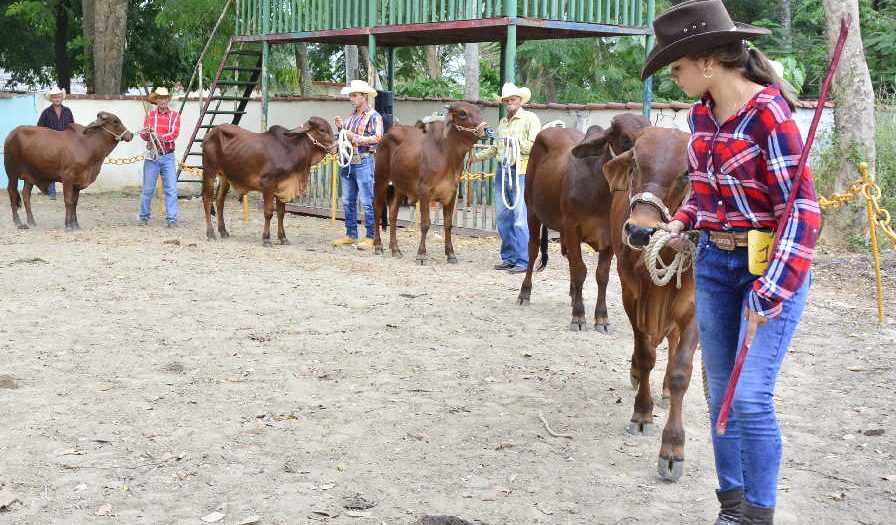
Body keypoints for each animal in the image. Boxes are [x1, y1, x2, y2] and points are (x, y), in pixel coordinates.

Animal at [4, 112, 134, 229]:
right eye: (116, 121)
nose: (131, 135)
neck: (87, 145)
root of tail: (12, 133)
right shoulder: (67, 177)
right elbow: (68, 200)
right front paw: (68, 224)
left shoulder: (77, 182)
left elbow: (74, 202)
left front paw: (75, 224)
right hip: (12, 172)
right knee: (12, 192)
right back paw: (18, 222)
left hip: (30, 175)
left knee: (26, 195)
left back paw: (31, 221)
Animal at [201, 116, 334, 246]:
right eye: (322, 130)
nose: (335, 147)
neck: (291, 150)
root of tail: (211, 133)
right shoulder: (268, 185)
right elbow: (268, 212)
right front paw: (266, 239)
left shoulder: (283, 187)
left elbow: (281, 213)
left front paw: (283, 238)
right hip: (209, 171)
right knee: (207, 199)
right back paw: (210, 233)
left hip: (224, 176)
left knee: (219, 200)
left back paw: (223, 231)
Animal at [372, 101, 486, 264]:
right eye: (463, 113)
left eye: (477, 110)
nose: (485, 128)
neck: (448, 155)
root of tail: (387, 134)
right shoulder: (424, 192)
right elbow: (425, 224)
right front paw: (421, 254)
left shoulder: (451, 193)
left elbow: (448, 224)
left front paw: (451, 254)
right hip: (380, 179)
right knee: (377, 209)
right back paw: (378, 245)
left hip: (400, 187)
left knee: (393, 214)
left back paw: (395, 249)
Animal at [516, 114, 648, 332]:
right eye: (625, 139)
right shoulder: (572, 228)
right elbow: (580, 271)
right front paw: (578, 316)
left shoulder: (609, 236)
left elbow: (601, 275)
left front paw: (601, 318)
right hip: (532, 212)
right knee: (533, 249)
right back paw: (524, 293)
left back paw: (572, 295)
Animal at [600, 126, 696, 478]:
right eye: (636, 164)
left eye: (686, 173)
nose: (641, 231)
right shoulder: (631, 296)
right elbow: (645, 356)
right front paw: (641, 414)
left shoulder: (694, 308)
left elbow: (682, 371)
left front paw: (673, 448)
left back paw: (666, 389)